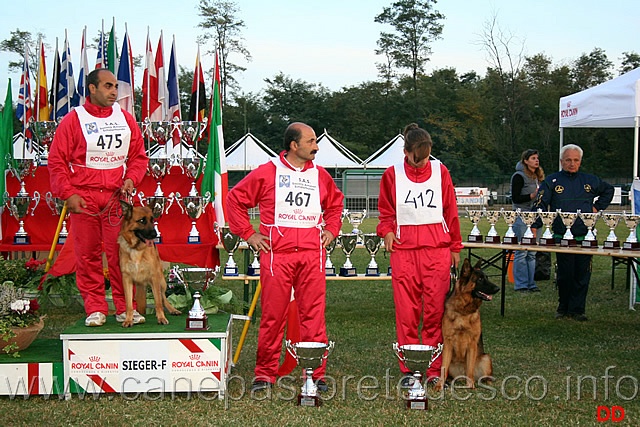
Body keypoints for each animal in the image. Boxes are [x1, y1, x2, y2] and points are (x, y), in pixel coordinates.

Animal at [436, 258, 500, 392]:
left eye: (487, 277)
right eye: (480, 279)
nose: (498, 288)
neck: (463, 311)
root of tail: (461, 375)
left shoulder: (472, 344)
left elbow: (470, 369)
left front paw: (470, 386)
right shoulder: (448, 343)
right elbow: (443, 368)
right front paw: (439, 385)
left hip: (486, 358)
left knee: (483, 376)